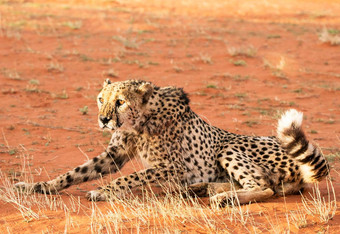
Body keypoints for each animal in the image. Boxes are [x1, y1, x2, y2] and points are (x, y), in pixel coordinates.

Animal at [15, 79, 330, 204]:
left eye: (120, 102)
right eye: (101, 99)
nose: (103, 119)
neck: (139, 119)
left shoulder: (172, 166)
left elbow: (131, 177)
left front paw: (104, 191)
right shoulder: (114, 155)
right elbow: (75, 173)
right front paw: (37, 186)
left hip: (228, 146)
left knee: (265, 187)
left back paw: (223, 198)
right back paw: (203, 189)